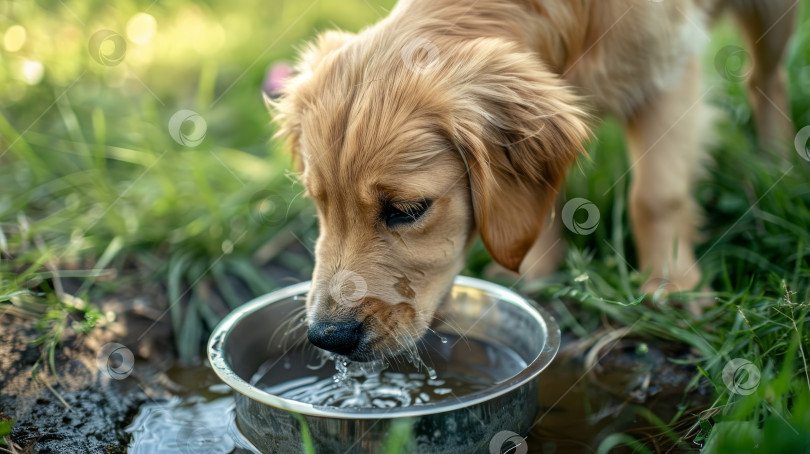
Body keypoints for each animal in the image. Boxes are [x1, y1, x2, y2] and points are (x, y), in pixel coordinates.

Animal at [274, 0, 792, 362]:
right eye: (319, 203)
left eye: (407, 211)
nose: (327, 338)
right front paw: (536, 273)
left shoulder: (667, 70)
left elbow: (655, 197)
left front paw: (671, 287)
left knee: (765, 76)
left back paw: (779, 167)